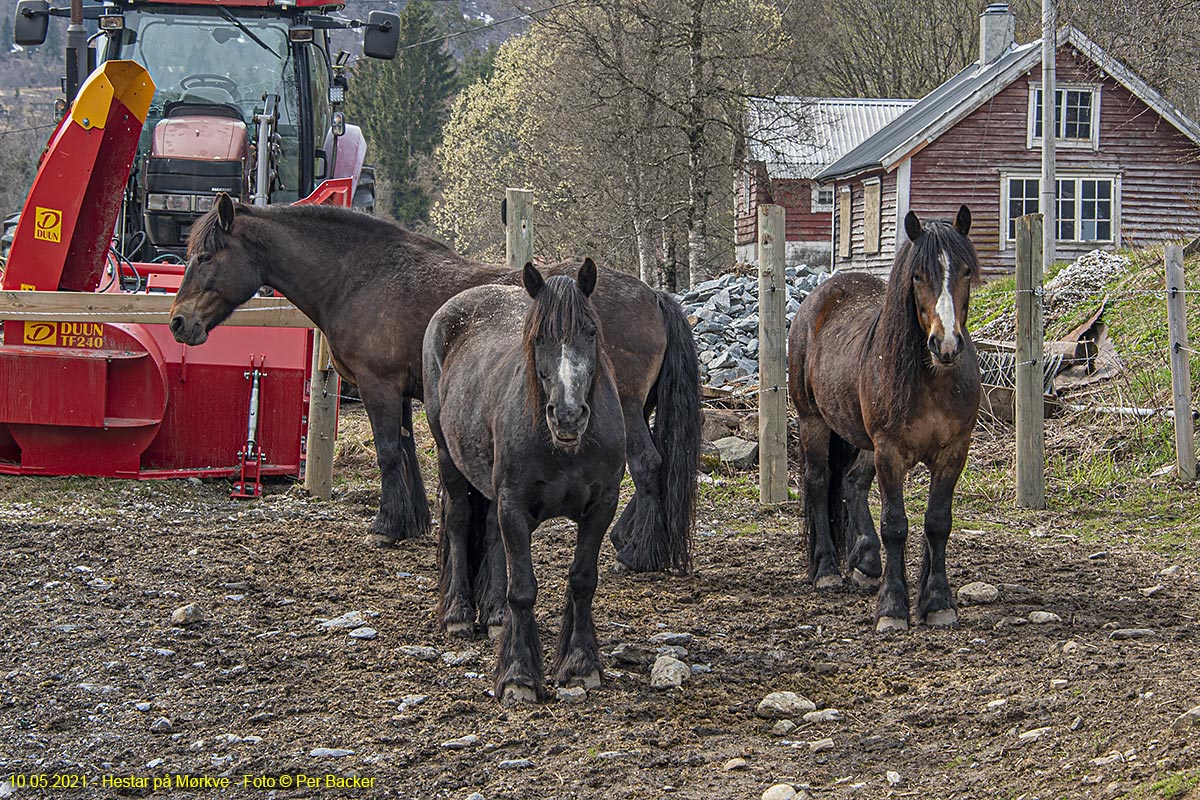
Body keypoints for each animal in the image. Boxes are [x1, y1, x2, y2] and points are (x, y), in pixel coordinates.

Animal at [164, 195, 700, 575]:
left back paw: (637, 555)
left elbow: (387, 453)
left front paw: (385, 526)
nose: (178, 322)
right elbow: (404, 451)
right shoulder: (399, 393)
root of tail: (654, 294)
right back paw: (630, 537)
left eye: (205, 256)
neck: (360, 276)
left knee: (648, 467)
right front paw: (410, 521)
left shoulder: (378, 387)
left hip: (621, 410)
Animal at [424, 261, 624, 700]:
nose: (568, 415)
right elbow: (523, 589)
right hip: (449, 459)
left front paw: (579, 664)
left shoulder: (601, 507)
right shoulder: (513, 505)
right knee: (459, 522)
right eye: (538, 337)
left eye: (591, 332)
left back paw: (495, 614)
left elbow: (582, 581)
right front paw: (518, 674)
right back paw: (459, 613)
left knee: (491, 535)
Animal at [792, 209, 979, 633]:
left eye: (965, 271)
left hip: (861, 439)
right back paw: (826, 569)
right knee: (819, 481)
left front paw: (937, 601)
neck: (932, 380)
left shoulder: (953, 451)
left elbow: (937, 522)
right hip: (814, 421)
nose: (946, 344)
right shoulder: (890, 452)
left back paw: (865, 561)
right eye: (917, 276)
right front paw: (893, 606)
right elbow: (895, 524)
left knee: (852, 482)